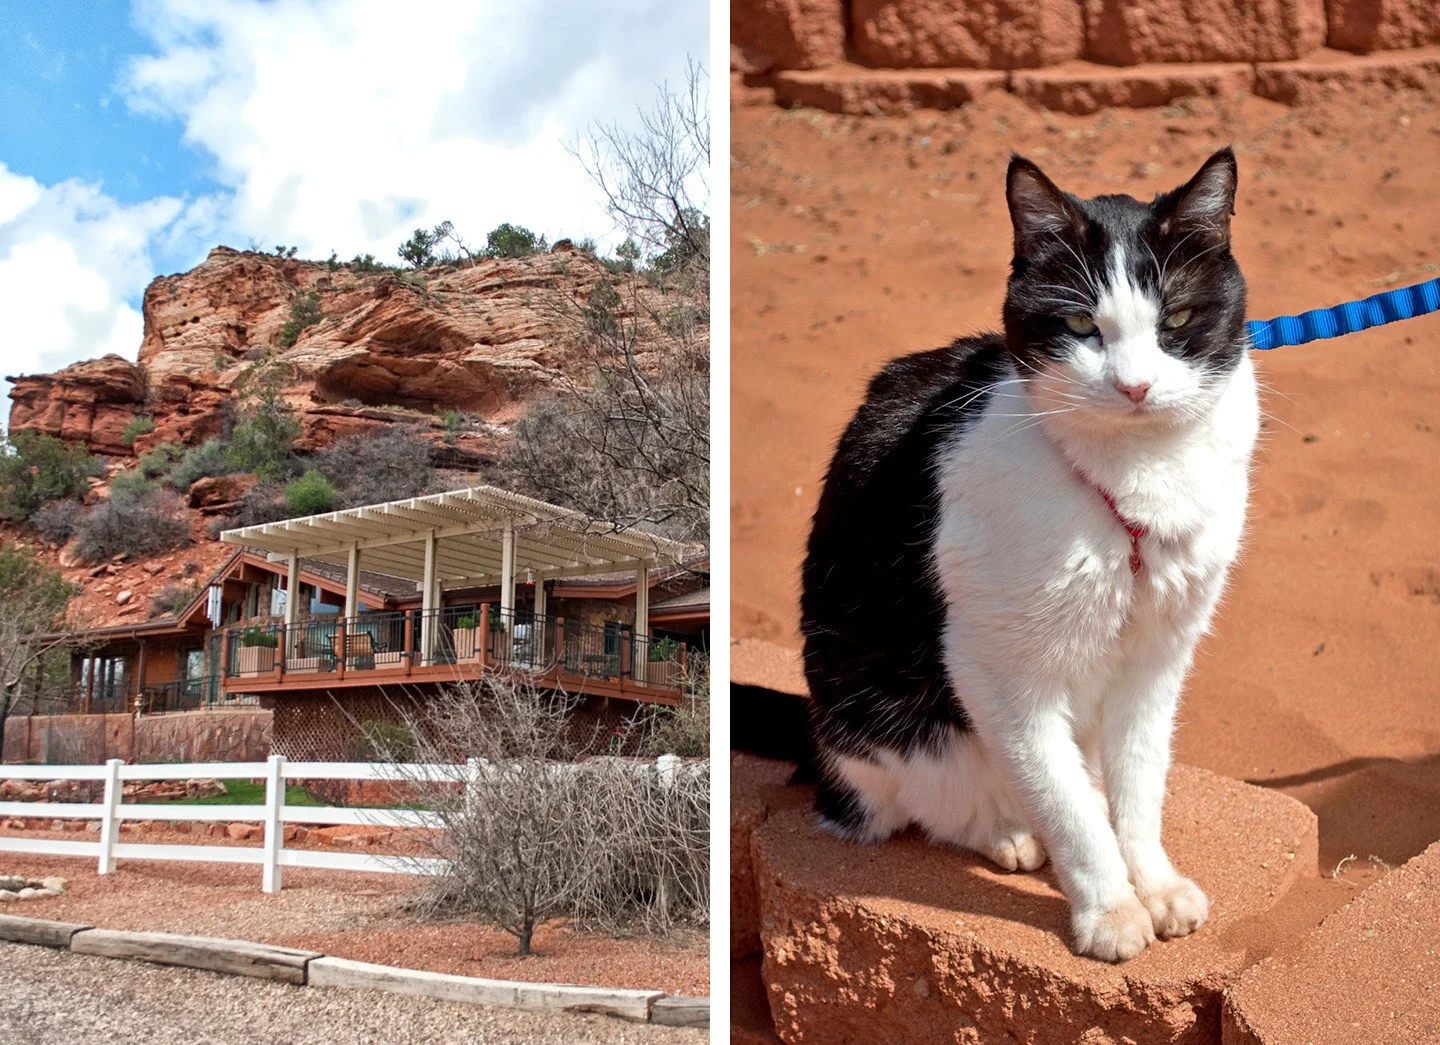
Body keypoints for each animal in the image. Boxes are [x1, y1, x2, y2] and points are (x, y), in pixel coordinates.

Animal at [806, 149, 1255, 967]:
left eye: (1176, 319)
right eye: (1080, 324)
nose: (1136, 385)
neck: (1134, 477)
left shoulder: (1159, 656)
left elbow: (1141, 781)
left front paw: (1153, 881)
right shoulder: (996, 666)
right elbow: (1064, 802)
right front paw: (1110, 908)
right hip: (887, 720)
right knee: (941, 796)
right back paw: (1009, 831)